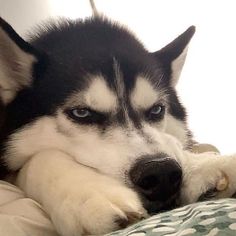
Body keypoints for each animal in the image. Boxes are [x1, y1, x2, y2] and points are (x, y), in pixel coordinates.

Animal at [0, 16, 236, 234]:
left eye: (157, 109)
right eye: (82, 113)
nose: (160, 174)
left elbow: (173, 144)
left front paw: (204, 164)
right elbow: (41, 158)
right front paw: (89, 193)